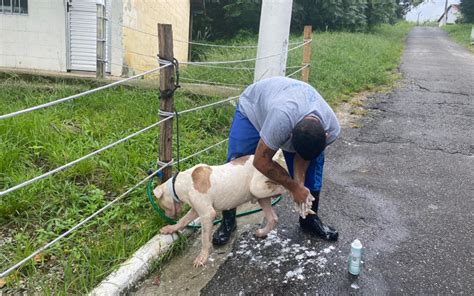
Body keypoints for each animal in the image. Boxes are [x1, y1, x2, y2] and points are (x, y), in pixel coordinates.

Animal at [153, 156, 286, 268]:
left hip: (258, 188)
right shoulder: (196, 210)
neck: (184, 183)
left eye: (161, 205)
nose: (166, 217)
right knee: (273, 217)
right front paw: (170, 228)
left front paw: (202, 257)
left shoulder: (207, 214)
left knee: (285, 186)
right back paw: (262, 232)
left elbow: (204, 238)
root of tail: (274, 160)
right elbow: (183, 221)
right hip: (261, 196)